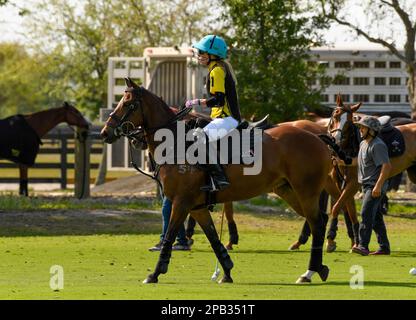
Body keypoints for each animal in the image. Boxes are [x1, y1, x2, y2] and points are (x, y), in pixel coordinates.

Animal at [101, 79, 332, 284]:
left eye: (128, 104)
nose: (105, 132)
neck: (175, 144)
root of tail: (318, 137)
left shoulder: (181, 202)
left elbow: (169, 237)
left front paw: (155, 274)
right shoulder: (197, 207)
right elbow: (213, 238)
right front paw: (227, 272)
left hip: (306, 192)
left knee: (317, 223)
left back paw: (309, 272)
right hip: (289, 191)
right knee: (318, 221)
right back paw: (319, 268)